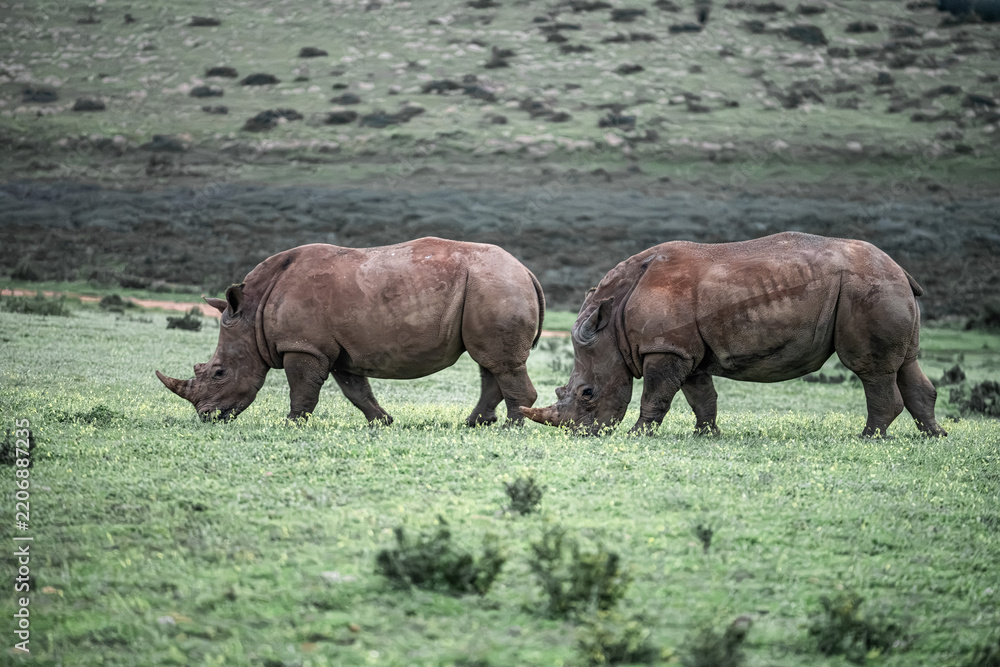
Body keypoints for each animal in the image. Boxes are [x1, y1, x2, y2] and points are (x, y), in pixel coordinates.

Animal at [156, 238, 544, 425]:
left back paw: (511, 429)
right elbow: (355, 390)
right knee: (489, 362)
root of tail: (526, 270)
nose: (206, 417)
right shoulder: (338, 349)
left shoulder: (303, 345)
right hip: (491, 286)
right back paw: (475, 424)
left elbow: (303, 388)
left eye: (219, 373)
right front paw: (383, 422)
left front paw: (291, 424)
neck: (252, 313)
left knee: (498, 362)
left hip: (495, 285)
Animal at [521, 232, 946, 438]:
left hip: (867, 288)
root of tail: (900, 268)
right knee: (907, 362)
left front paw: (637, 435)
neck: (613, 326)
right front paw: (707, 435)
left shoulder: (665, 349)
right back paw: (933, 437)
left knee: (871, 369)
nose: (581, 434)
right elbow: (701, 396)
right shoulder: (683, 350)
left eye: (587, 394)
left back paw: (868, 437)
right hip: (886, 286)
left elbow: (656, 395)